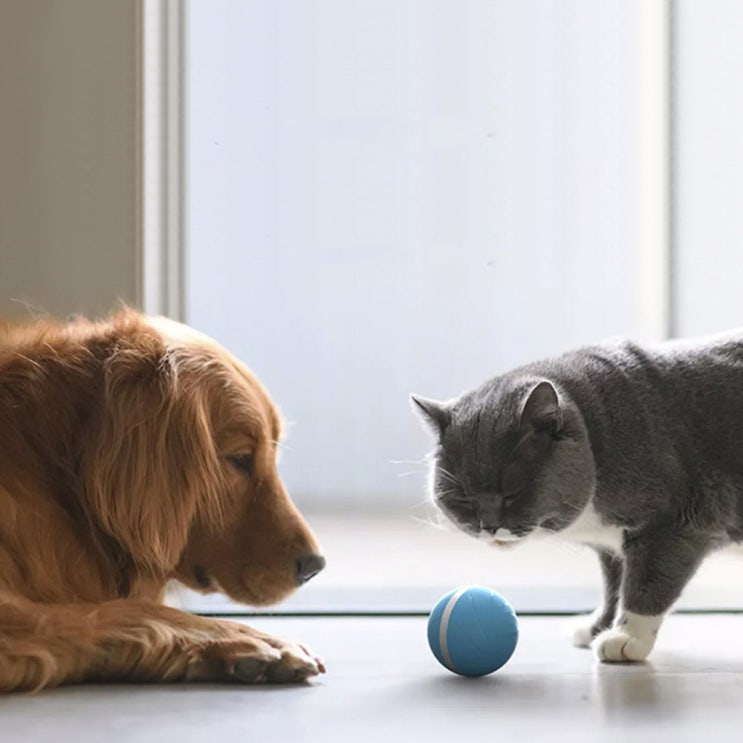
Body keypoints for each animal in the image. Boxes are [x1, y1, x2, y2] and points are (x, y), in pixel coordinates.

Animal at [410, 332, 743, 664]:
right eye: (463, 499)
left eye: (512, 494)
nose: (489, 526)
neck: (600, 438)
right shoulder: (611, 545)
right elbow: (614, 585)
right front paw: (598, 627)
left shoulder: (673, 523)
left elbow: (646, 581)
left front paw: (626, 638)